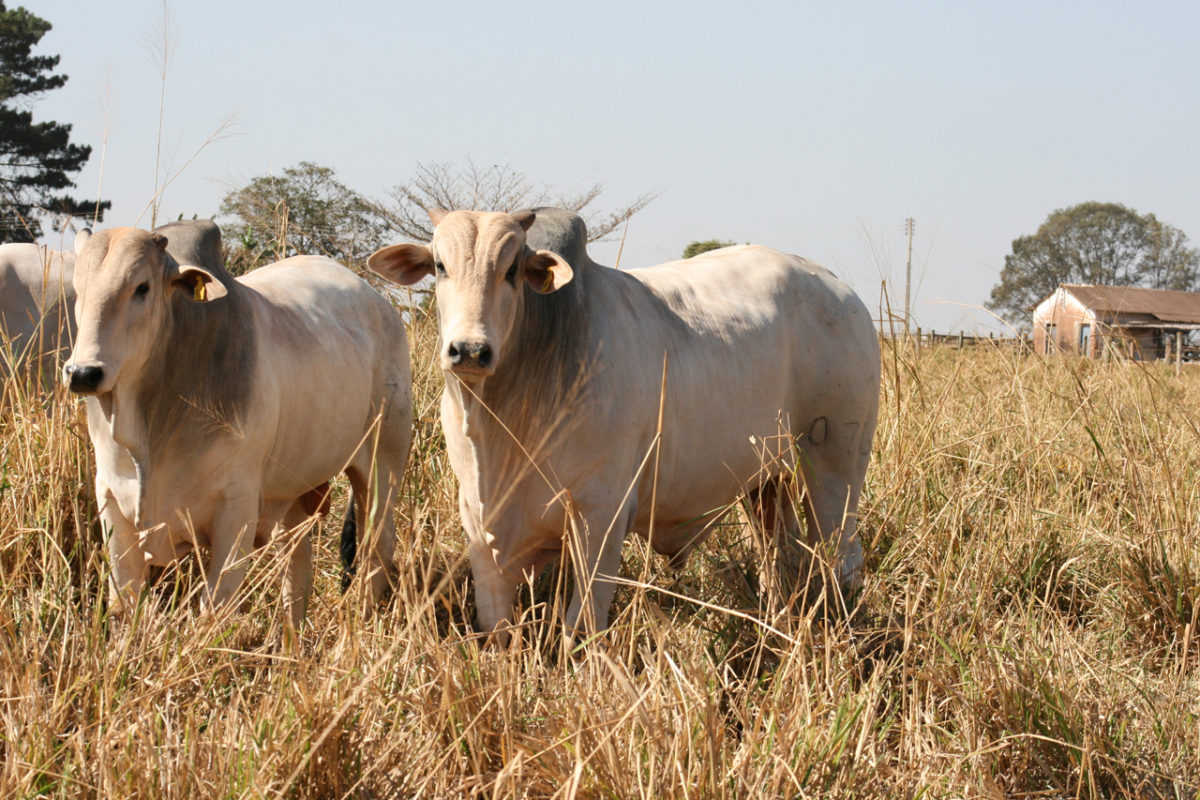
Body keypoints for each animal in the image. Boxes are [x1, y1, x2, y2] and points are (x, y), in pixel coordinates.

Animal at [65, 226, 415, 623]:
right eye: (78, 288)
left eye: (142, 287)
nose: (83, 373)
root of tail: (380, 303)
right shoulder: (110, 501)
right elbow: (123, 604)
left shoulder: (236, 510)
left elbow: (213, 608)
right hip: (292, 493)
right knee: (297, 570)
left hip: (382, 465)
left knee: (378, 551)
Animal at [364, 208, 883, 642]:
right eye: (440, 266)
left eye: (511, 270)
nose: (469, 350)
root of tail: (837, 287)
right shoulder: (479, 523)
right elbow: (496, 629)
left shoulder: (601, 515)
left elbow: (581, 625)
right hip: (766, 479)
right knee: (779, 556)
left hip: (835, 465)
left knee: (843, 557)